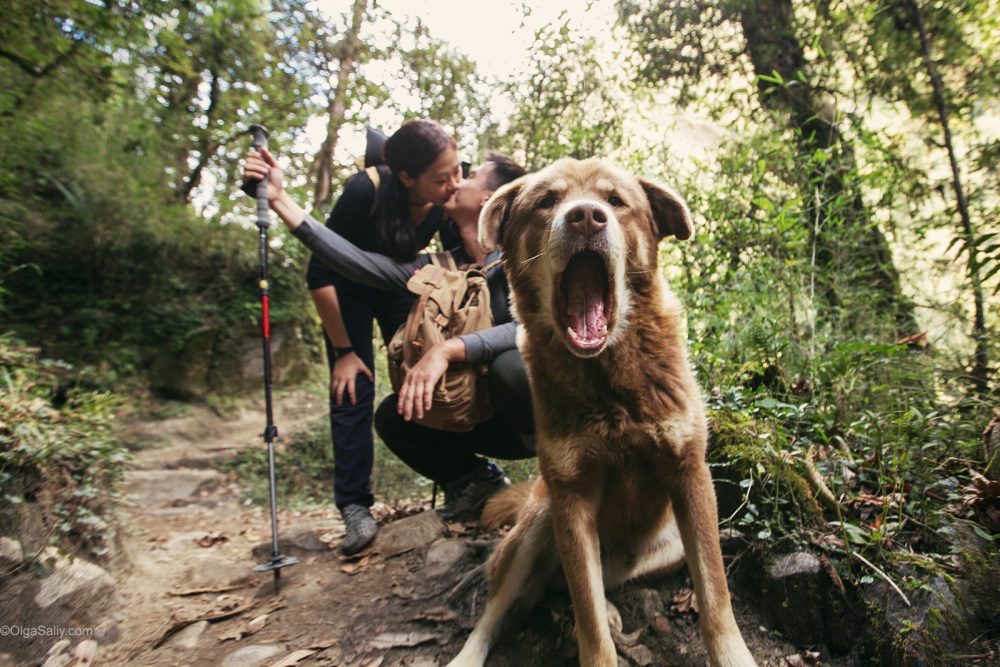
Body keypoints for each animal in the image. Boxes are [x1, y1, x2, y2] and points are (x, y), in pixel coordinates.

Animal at [448, 159, 756, 664]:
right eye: (547, 201)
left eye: (615, 200)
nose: (586, 217)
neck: (609, 383)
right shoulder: (571, 499)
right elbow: (589, 623)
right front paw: (595, 637)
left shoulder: (688, 474)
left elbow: (715, 594)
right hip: (539, 521)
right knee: (506, 607)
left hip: (667, 544)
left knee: (576, 587)